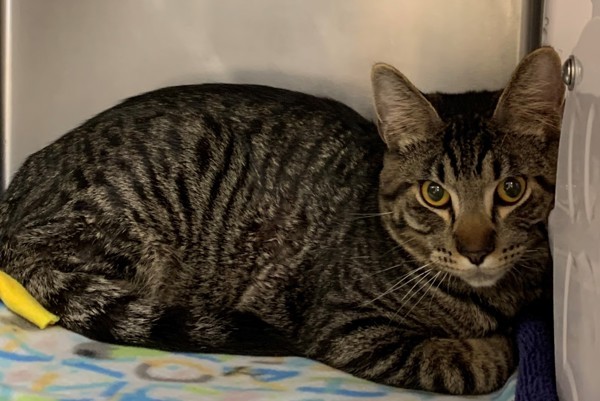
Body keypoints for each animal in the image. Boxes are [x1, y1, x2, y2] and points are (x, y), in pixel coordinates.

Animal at [0, 47, 564, 394]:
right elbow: (465, 362)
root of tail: (22, 182)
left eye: (511, 190)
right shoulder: (343, 326)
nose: (476, 249)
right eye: (434, 194)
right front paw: (497, 346)